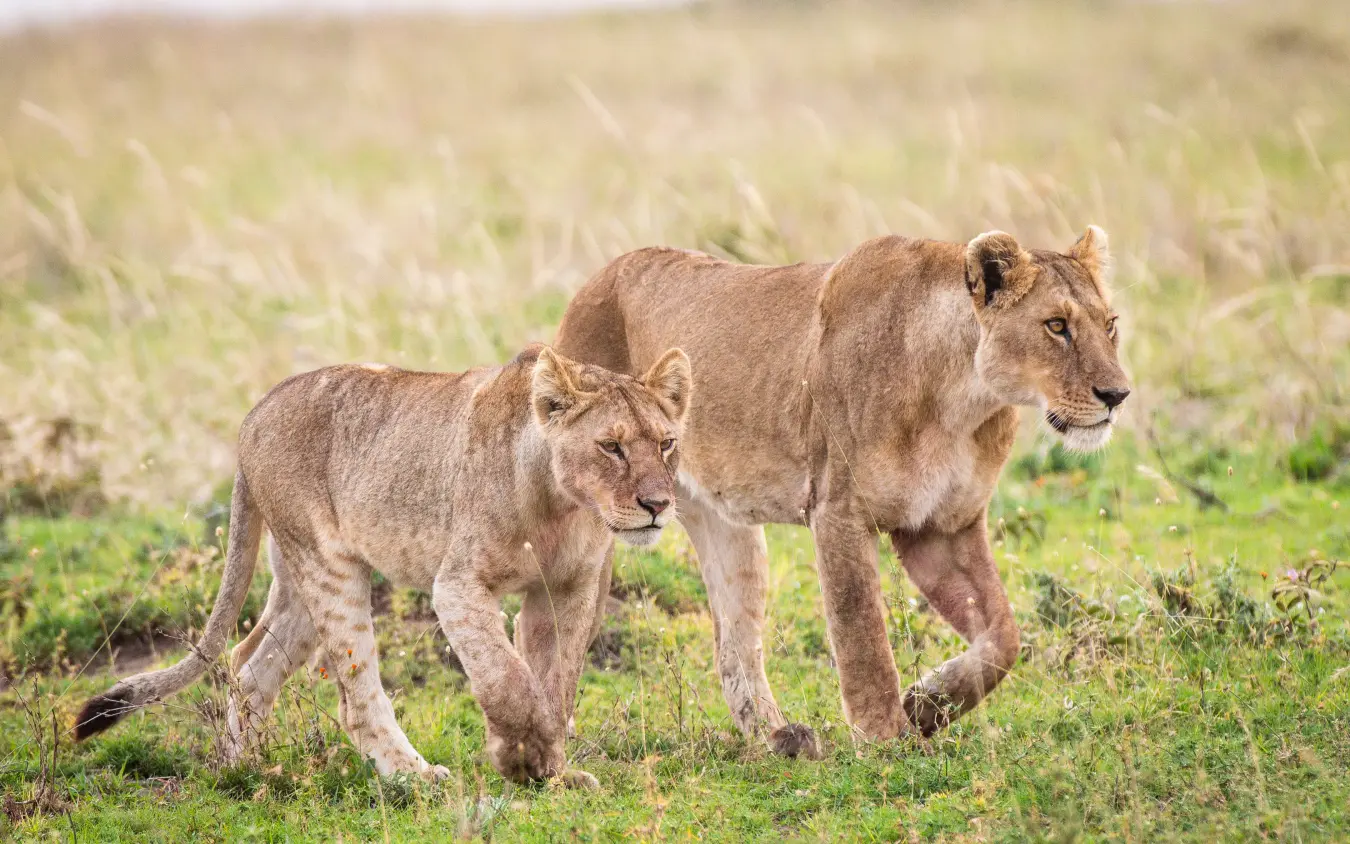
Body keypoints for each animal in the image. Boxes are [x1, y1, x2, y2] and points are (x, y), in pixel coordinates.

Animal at [75, 344, 692, 784]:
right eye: (611, 446)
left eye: (666, 443)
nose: (658, 505)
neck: (563, 505)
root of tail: (254, 413)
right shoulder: (459, 585)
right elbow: (506, 677)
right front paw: (521, 757)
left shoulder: (568, 589)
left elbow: (554, 682)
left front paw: (554, 771)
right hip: (329, 567)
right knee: (356, 696)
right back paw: (412, 777)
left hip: (298, 581)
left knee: (249, 663)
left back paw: (243, 771)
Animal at [554, 227, 1129, 755]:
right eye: (1056, 326)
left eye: (1110, 324)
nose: (1117, 395)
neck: (964, 400)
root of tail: (599, 277)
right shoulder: (838, 513)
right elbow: (862, 637)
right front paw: (884, 741)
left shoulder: (943, 527)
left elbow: (1004, 638)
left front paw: (926, 705)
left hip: (727, 527)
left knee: (734, 647)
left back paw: (781, 739)